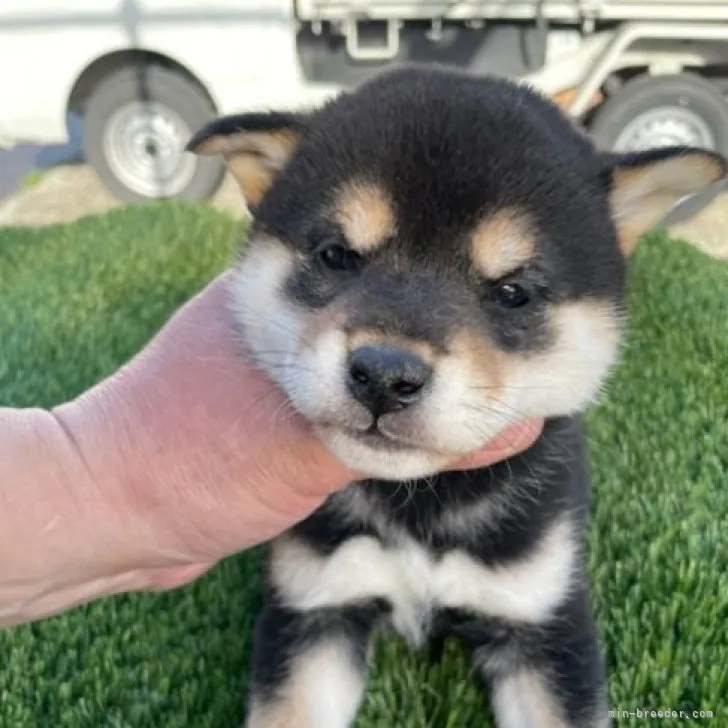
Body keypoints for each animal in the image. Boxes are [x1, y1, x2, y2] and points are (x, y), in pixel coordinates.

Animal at [186, 65, 724, 724]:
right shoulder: (316, 608)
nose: (384, 375)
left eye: (514, 292)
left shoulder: (543, 623)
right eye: (336, 256)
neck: (421, 505)